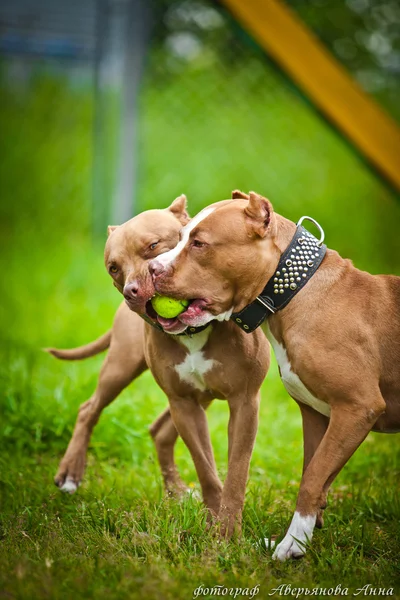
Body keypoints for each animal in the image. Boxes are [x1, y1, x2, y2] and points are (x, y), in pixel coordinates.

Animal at [48, 198, 270, 540]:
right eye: (113, 267)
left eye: (152, 245)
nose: (131, 290)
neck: (194, 331)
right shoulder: (184, 404)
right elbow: (205, 467)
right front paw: (214, 519)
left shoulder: (244, 403)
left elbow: (236, 471)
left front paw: (228, 530)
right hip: (121, 368)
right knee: (90, 409)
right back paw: (71, 472)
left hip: (200, 395)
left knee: (160, 430)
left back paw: (176, 492)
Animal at [151, 190, 400, 560]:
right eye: (180, 237)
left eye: (199, 243)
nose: (151, 268)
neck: (295, 294)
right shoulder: (317, 415)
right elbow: (315, 472)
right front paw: (305, 534)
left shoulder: (357, 408)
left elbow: (312, 478)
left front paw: (292, 544)